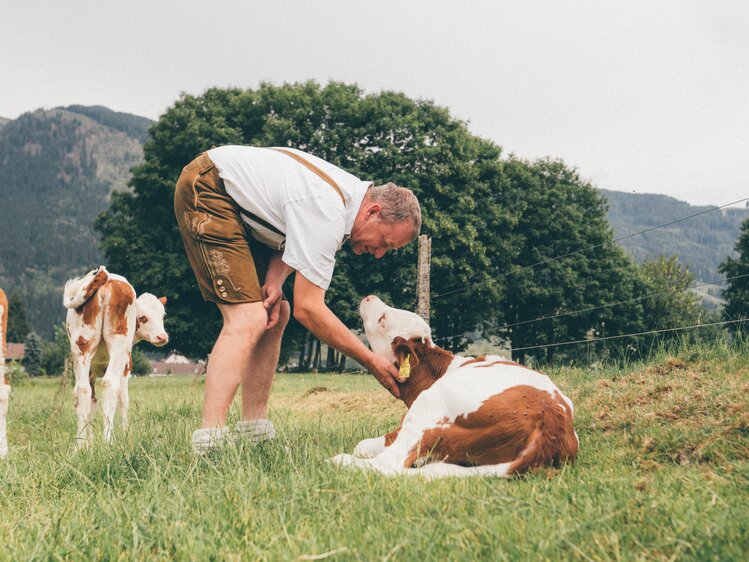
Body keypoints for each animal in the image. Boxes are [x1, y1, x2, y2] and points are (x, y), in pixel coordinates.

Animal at [64, 264, 168, 448]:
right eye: (143, 317)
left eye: (162, 315)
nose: (162, 337)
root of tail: (108, 279)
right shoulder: (126, 367)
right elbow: (123, 400)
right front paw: (126, 435)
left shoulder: (89, 371)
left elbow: (89, 402)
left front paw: (87, 442)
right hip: (118, 348)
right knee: (109, 384)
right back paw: (108, 441)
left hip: (82, 347)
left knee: (83, 389)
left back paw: (80, 444)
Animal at [334, 296, 580, 474]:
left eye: (383, 319)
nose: (369, 297)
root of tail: (550, 419)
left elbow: (362, 445)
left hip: (429, 406)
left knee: (388, 464)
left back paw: (337, 460)